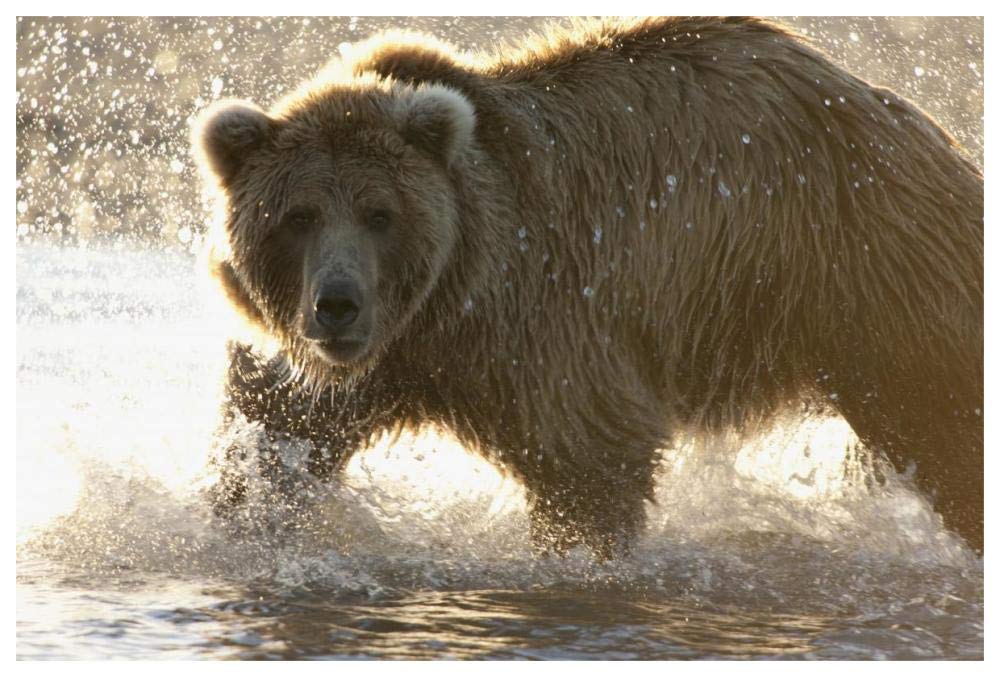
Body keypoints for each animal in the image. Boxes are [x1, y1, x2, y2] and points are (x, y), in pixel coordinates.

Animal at [195, 17, 983, 558]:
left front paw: (578, 557)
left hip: (867, 271)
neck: (444, 309)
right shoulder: (360, 367)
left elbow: (590, 454)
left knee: (944, 423)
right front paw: (244, 521)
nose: (337, 304)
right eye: (297, 216)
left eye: (380, 213)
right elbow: (276, 433)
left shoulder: (545, 312)